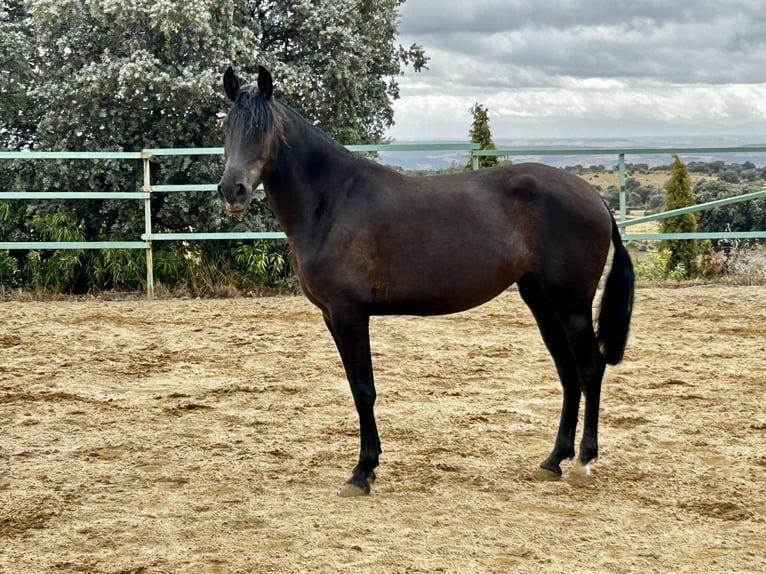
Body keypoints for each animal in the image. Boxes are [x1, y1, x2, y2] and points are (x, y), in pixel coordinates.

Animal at [216, 66, 636, 500]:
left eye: (263, 130)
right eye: (227, 128)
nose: (233, 190)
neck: (331, 201)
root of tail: (594, 198)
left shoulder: (350, 314)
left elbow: (364, 389)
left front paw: (362, 471)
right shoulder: (332, 317)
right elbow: (355, 387)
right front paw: (371, 465)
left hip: (571, 305)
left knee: (590, 369)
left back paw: (584, 460)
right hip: (541, 300)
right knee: (569, 373)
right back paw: (554, 460)